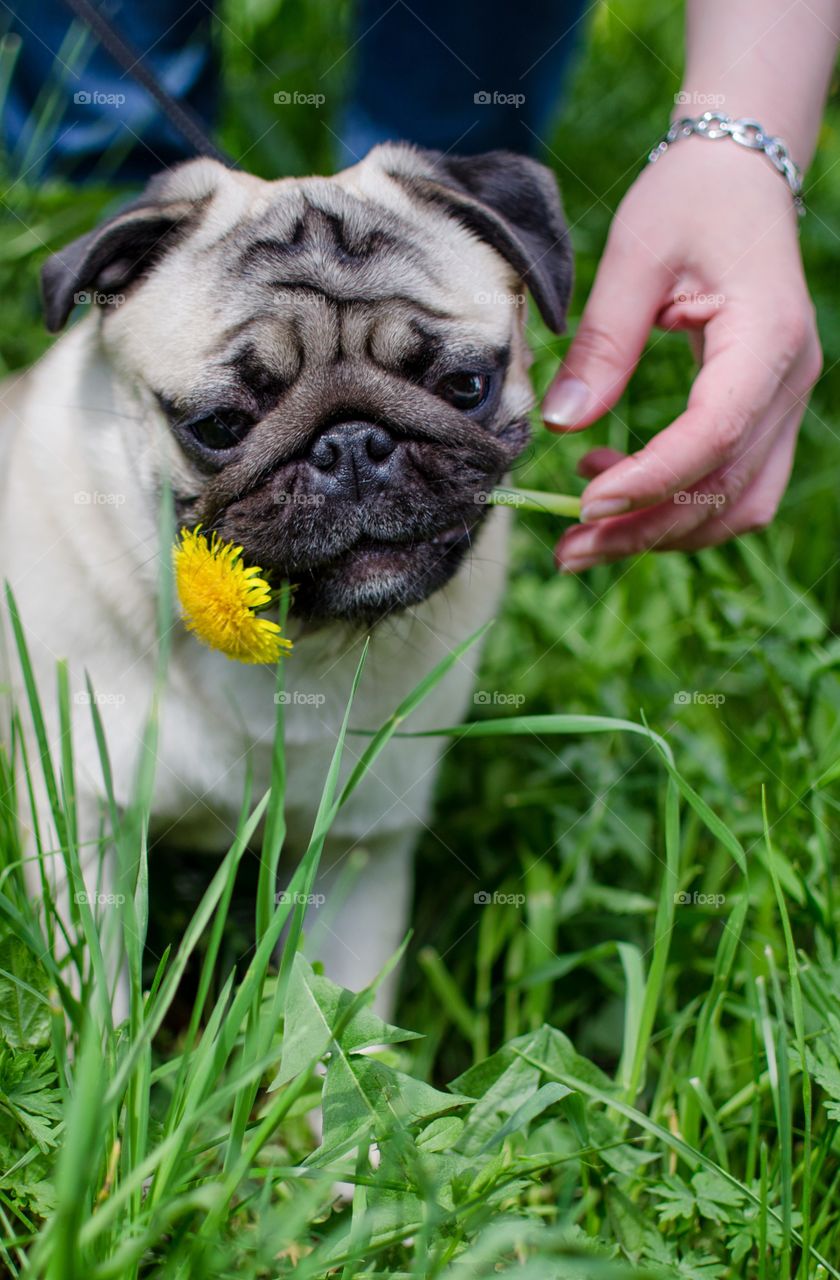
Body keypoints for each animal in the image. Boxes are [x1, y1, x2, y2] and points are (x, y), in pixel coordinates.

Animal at [0, 147, 571, 1008]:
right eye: (219, 427)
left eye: (465, 386)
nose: (352, 444)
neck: (295, 639)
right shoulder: (85, 818)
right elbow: (96, 999)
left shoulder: (359, 849)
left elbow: (337, 1018)